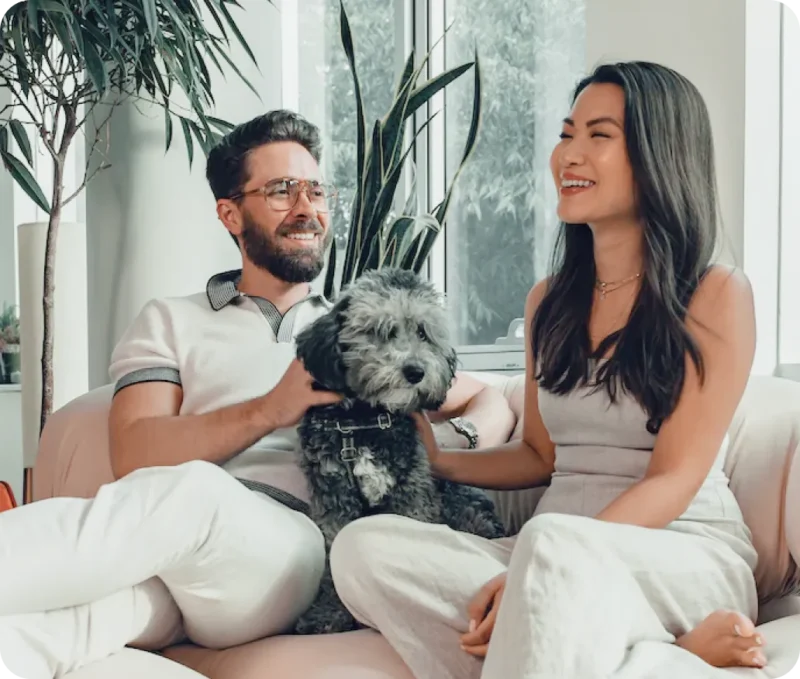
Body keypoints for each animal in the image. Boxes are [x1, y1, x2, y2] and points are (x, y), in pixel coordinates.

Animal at [292, 266, 506, 636]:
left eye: (423, 332)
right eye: (380, 330)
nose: (415, 371)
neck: (365, 421)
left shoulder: (412, 493)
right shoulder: (334, 501)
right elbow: (333, 557)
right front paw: (328, 613)